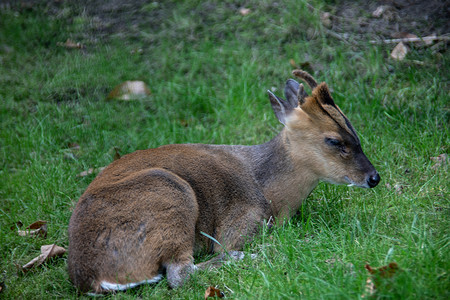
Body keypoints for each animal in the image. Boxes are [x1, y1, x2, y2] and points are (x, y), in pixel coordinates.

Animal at [68, 69, 382, 292]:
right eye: (334, 140)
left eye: (355, 132)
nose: (374, 178)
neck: (270, 192)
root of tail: (89, 276)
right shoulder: (242, 220)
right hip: (170, 191)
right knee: (180, 275)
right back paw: (250, 257)